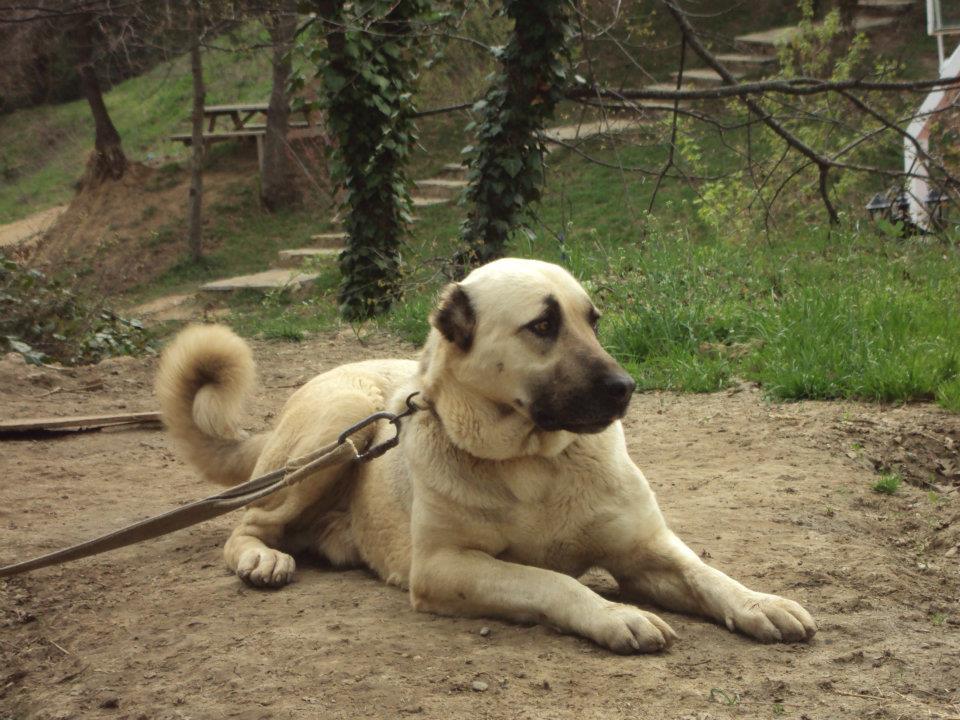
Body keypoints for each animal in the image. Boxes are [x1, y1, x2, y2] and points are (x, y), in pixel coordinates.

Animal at [158, 258, 816, 652]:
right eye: (543, 325)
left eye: (593, 321)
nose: (626, 387)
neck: (535, 461)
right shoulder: (446, 568)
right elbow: (552, 581)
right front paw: (613, 615)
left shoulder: (645, 551)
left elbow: (708, 574)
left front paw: (758, 603)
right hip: (339, 430)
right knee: (247, 524)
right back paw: (261, 559)